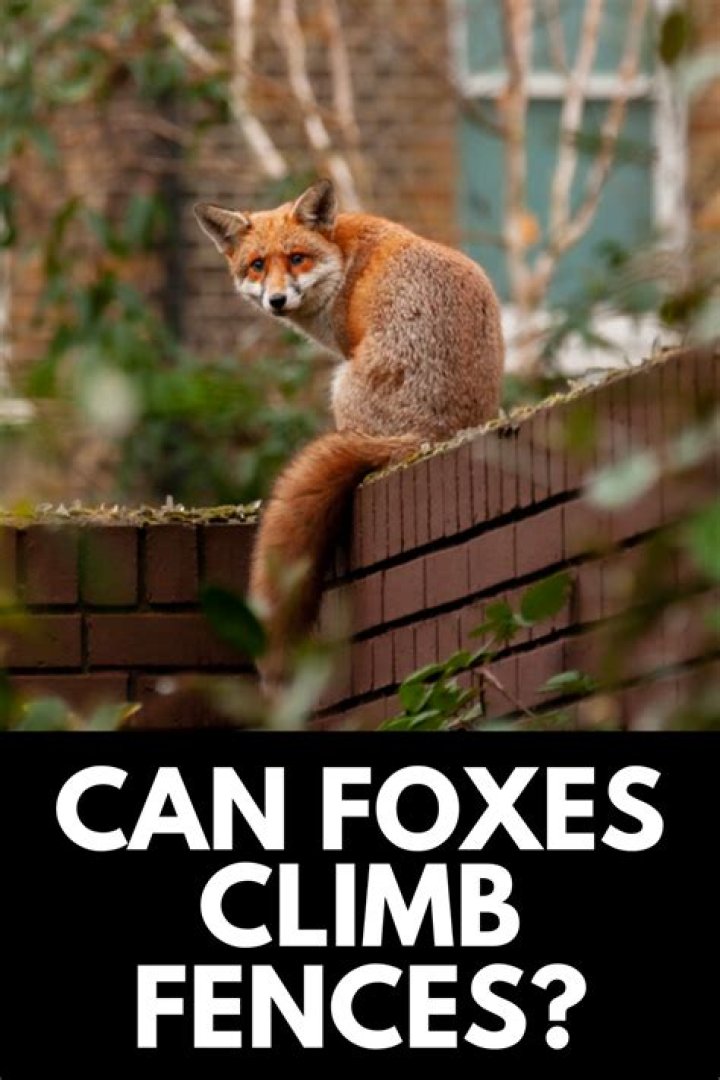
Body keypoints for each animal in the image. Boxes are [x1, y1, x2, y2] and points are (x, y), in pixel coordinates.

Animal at [195, 179, 504, 690]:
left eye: (297, 258)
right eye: (257, 265)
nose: (276, 300)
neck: (343, 257)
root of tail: (434, 434)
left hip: (339, 385)